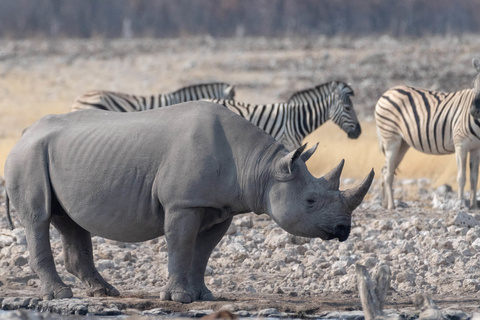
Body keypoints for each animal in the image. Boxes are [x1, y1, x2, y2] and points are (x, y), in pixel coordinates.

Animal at [376, 59, 480, 210]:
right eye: (474, 84)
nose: (473, 112)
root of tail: (388, 91)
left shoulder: (476, 148)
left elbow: (474, 178)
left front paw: (474, 206)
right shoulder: (461, 144)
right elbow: (461, 177)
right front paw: (461, 204)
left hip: (402, 144)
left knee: (385, 170)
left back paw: (384, 203)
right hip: (391, 139)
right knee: (388, 173)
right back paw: (391, 205)